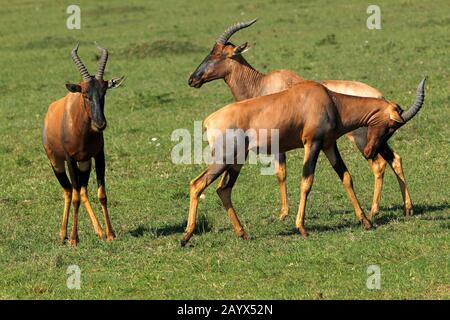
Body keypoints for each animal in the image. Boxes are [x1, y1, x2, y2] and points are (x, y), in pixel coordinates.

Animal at [42, 44, 125, 245]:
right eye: (85, 94)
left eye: (104, 92)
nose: (100, 124)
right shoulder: (70, 159)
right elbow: (75, 198)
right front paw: (74, 239)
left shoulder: (99, 156)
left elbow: (102, 195)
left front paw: (110, 234)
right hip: (57, 162)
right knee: (68, 191)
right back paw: (63, 235)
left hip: (85, 162)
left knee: (82, 190)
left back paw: (99, 231)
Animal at [182, 77, 426, 245]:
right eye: (392, 125)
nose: (369, 151)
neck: (330, 101)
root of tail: (209, 121)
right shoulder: (312, 144)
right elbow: (307, 181)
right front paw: (301, 227)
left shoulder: (328, 145)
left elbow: (346, 177)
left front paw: (366, 221)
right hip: (224, 159)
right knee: (197, 184)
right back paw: (186, 236)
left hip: (236, 161)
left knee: (223, 189)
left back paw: (243, 233)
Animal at [188, 18, 414, 221]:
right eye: (211, 51)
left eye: (219, 54)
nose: (192, 79)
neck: (262, 83)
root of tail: (380, 97)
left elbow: (281, 173)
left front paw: (283, 214)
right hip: (379, 140)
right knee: (395, 159)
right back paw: (406, 208)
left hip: (362, 139)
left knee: (379, 164)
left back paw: (374, 210)